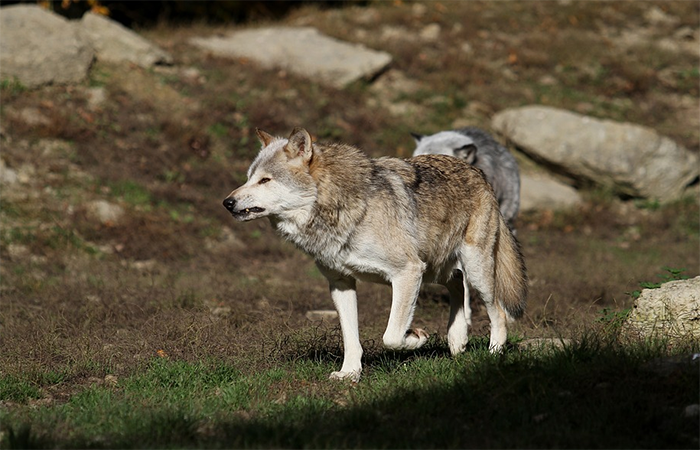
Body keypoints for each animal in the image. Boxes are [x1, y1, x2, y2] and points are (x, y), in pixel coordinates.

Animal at [223, 128, 527, 382]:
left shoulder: (407, 272)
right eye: (249, 178)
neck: (340, 209)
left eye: (265, 180)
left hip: (474, 270)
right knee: (456, 282)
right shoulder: (341, 284)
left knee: (497, 310)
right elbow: (351, 339)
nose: (227, 202)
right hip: (435, 270)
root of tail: (477, 171)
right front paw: (350, 374)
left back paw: (493, 353)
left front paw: (416, 337)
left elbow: (391, 336)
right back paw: (457, 339)